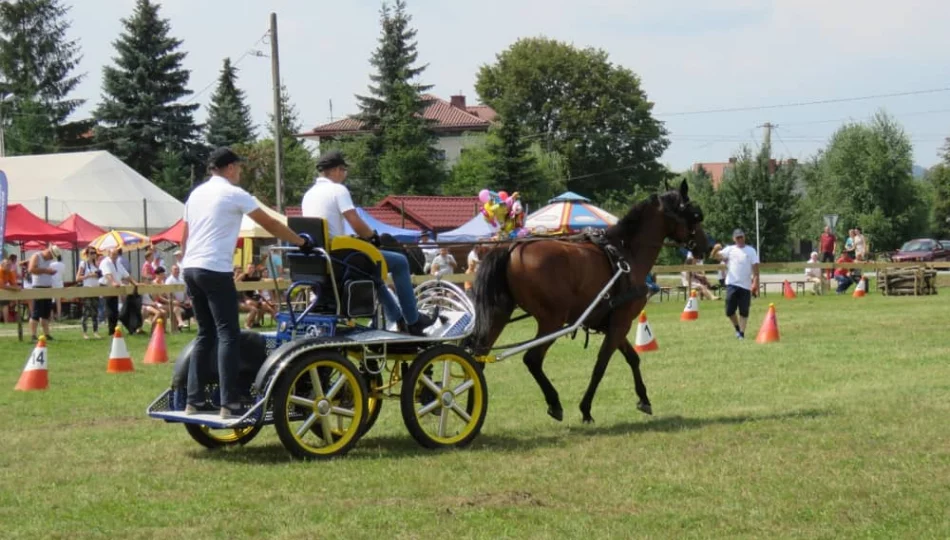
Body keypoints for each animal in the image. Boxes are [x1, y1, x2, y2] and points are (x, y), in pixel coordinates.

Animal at [474, 179, 708, 424]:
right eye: (695, 215)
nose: (706, 246)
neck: (626, 253)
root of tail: (512, 247)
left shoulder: (614, 324)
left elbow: (633, 358)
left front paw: (643, 398)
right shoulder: (620, 324)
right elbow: (601, 365)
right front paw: (586, 408)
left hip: (500, 315)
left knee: (478, 357)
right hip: (552, 320)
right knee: (532, 359)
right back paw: (554, 403)